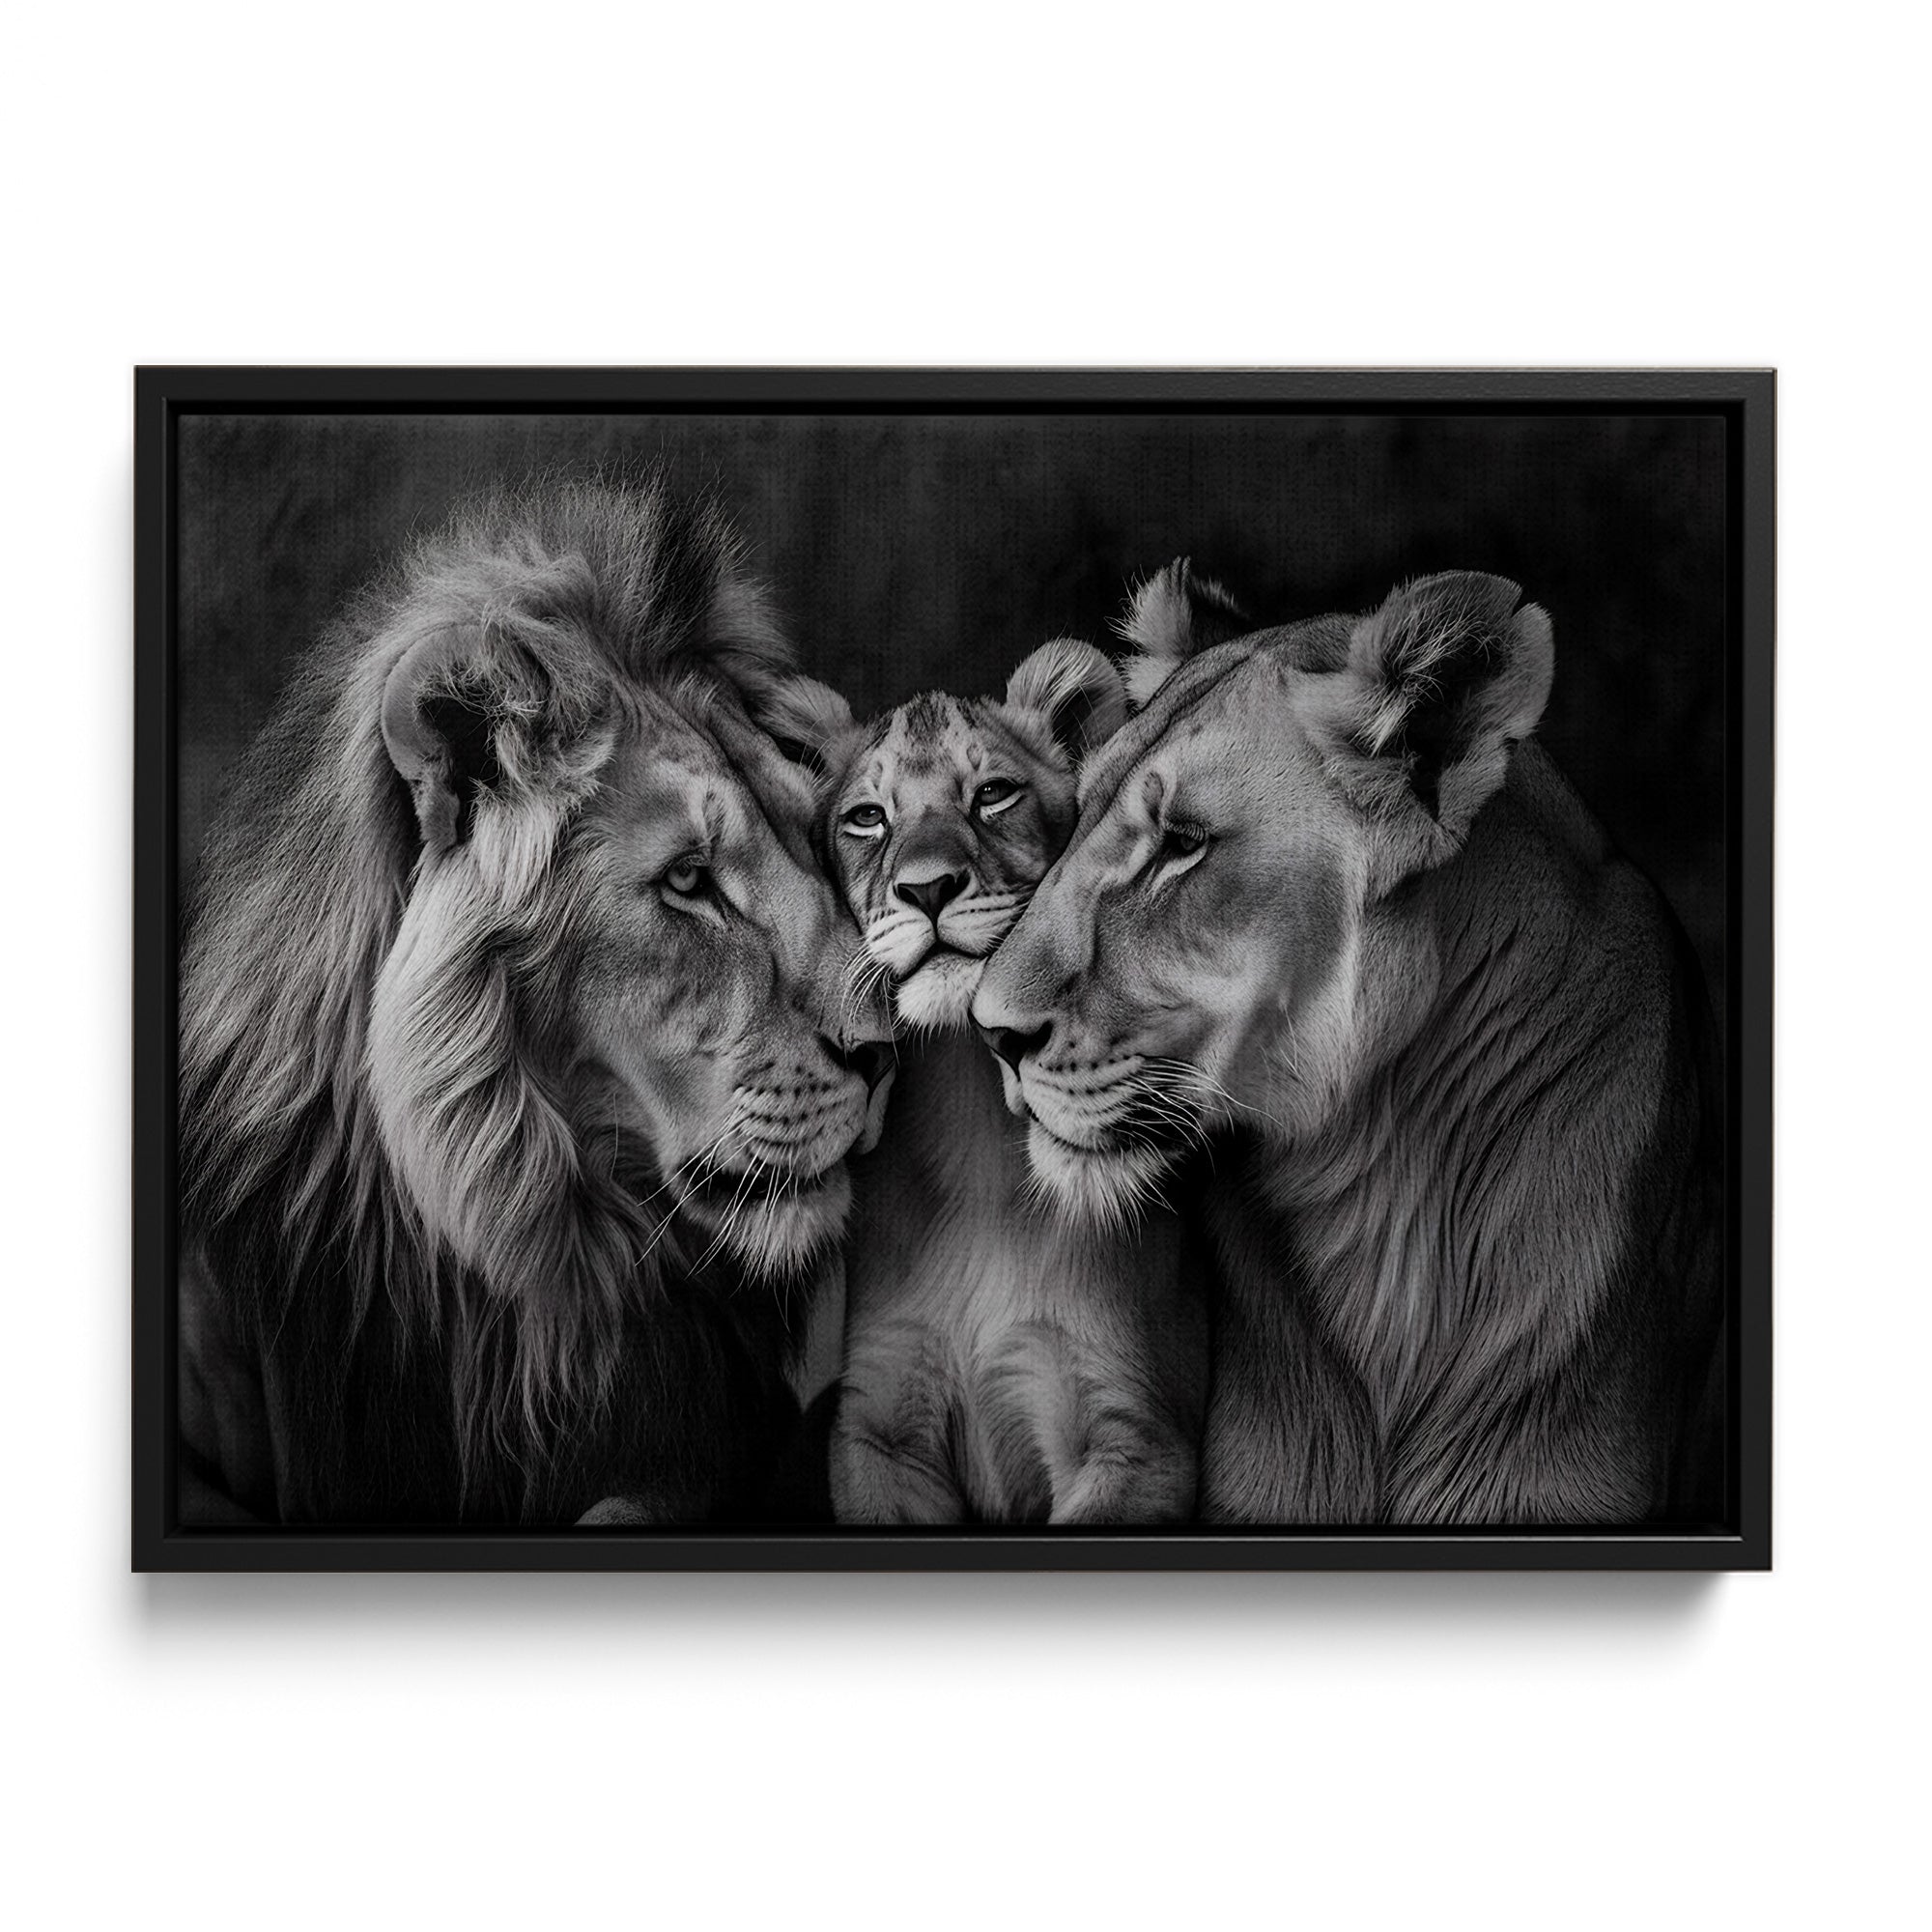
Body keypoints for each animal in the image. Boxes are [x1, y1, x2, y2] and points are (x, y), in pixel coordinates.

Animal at [770, 644, 1209, 1523]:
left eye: (992, 794)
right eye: (867, 818)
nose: (928, 888)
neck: (969, 1115)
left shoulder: (1136, 1439)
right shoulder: (879, 1427)